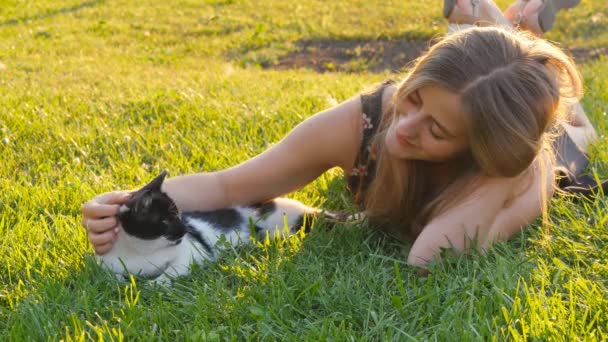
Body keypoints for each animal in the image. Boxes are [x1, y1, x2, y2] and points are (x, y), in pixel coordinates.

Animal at [99, 170, 328, 284]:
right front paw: (123, 282)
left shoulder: (193, 252)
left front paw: (157, 283)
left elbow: (173, 268)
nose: (186, 228)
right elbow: (110, 275)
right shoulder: (106, 263)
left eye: (179, 215)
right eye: (168, 220)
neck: (144, 251)